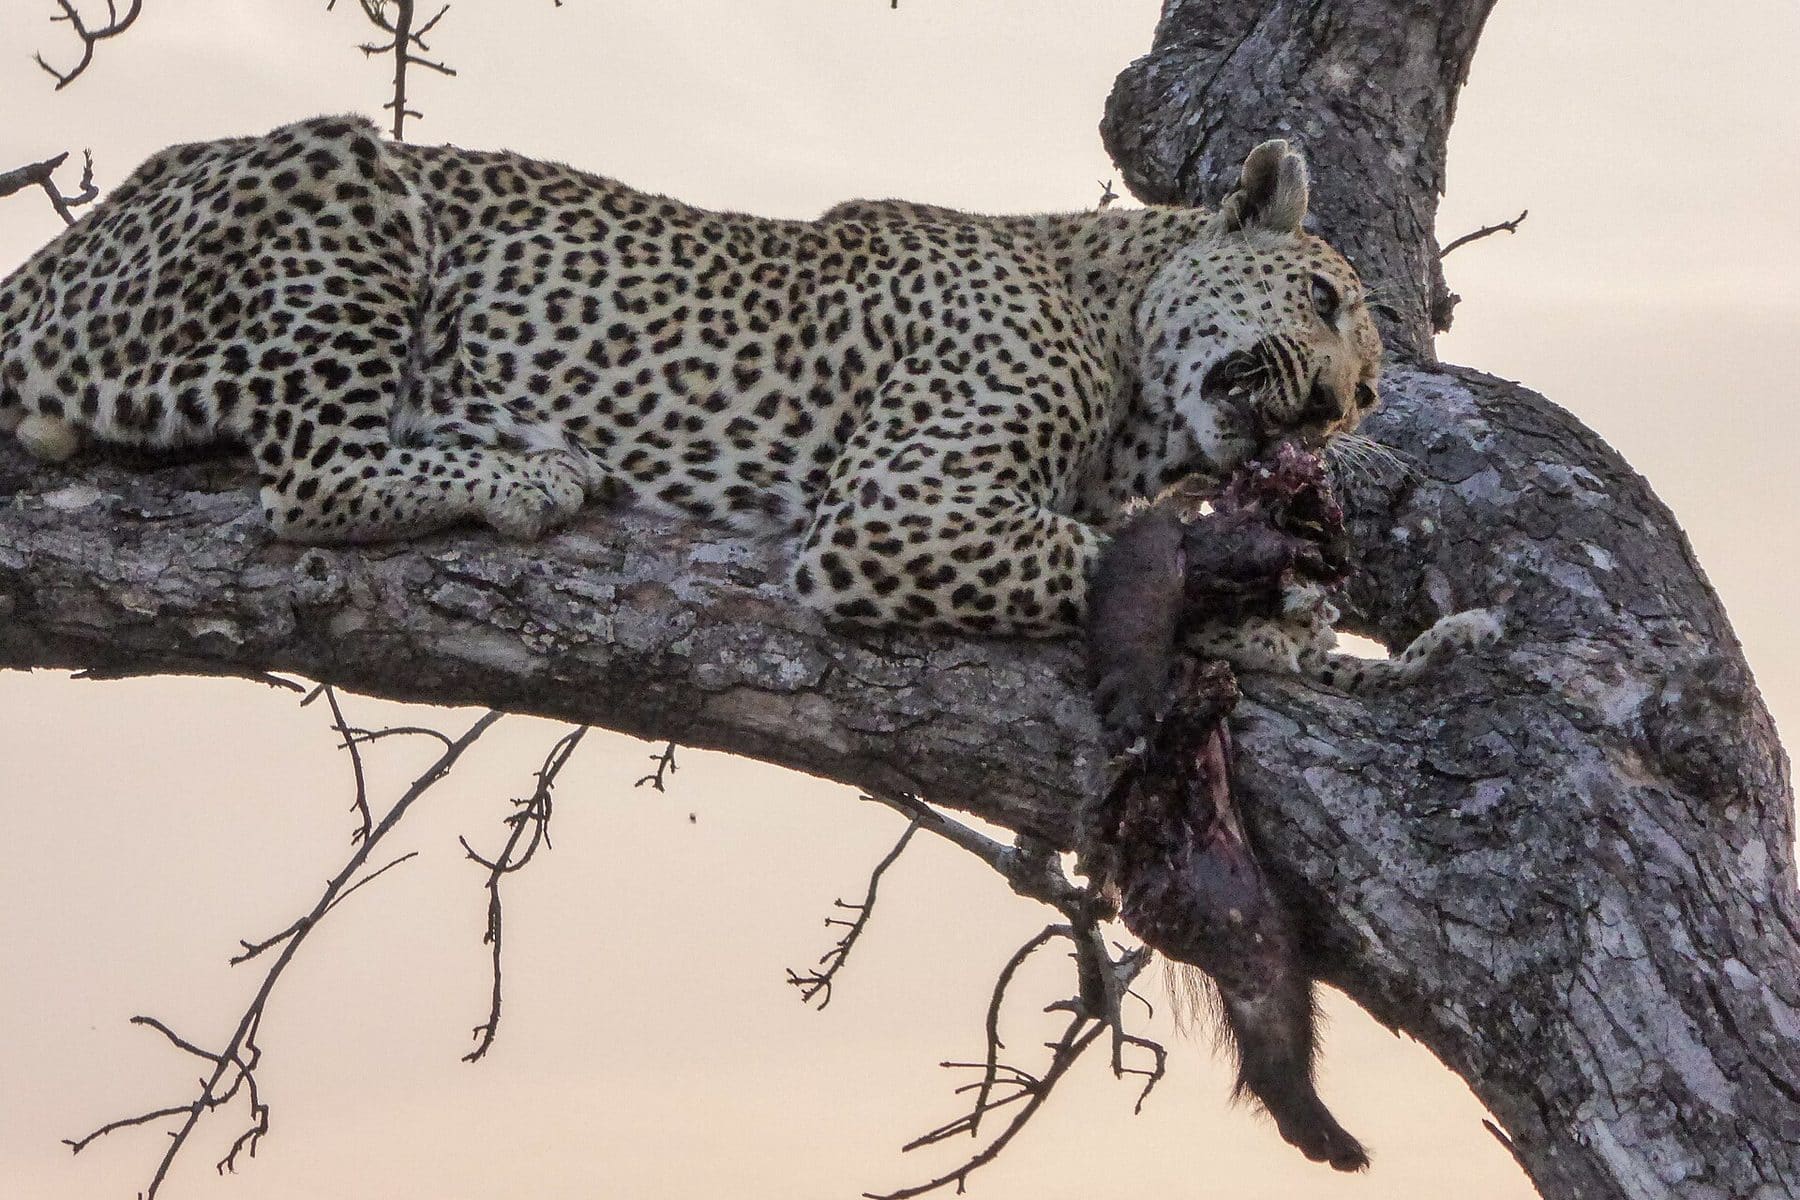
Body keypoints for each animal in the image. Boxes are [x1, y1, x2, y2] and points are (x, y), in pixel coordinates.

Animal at [0, 115, 1493, 685]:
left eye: (1368, 398)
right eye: (1323, 302)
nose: (1328, 414)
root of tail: (46, 264)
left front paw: (1394, 644)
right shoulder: (893, 513)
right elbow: (1112, 557)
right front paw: (1270, 596)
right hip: (345, 164)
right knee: (307, 478)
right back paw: (524, 471)